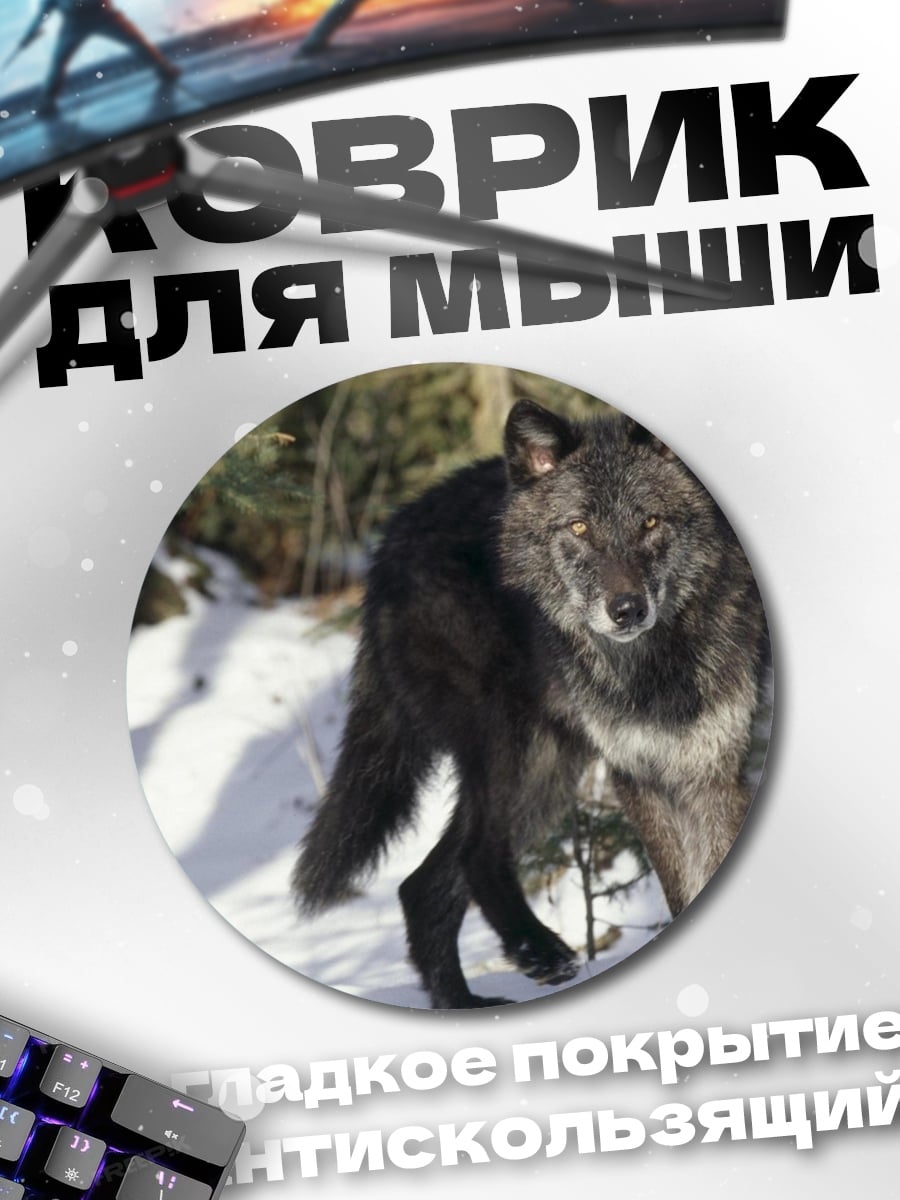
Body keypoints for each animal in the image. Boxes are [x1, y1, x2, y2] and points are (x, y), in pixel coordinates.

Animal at [292, 399, 770, 1008]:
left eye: (650, 522)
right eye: (579, 526)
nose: (627, 609)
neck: (653, 670)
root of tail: (391, 538)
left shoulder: (713, 775)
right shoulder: (638, 777)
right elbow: (681, 891)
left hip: (547, 773)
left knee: (422, 886)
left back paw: (464, 1005)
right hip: (508, 744)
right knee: (474, 856)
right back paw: (537, 951)